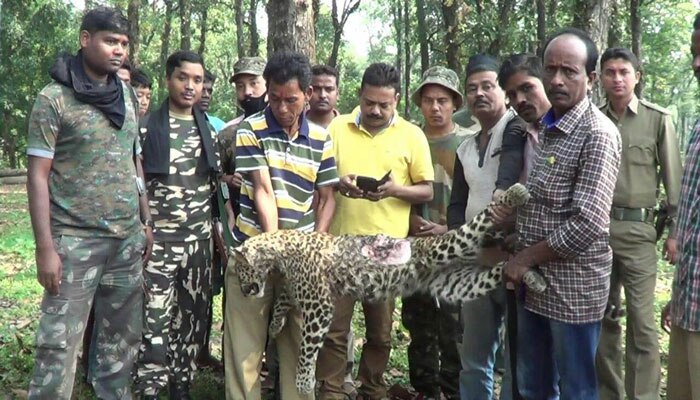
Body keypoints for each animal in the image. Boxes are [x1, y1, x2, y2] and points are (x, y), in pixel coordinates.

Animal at [231, 184, 548, 394]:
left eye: (241, 272)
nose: (245, 292)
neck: (277, 251)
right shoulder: (298, 289)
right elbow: (283, 300)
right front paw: (275, 325)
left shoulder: (319, 305)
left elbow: (308, 346)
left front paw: (303, 379)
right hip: (456, 285)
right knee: (497, 271)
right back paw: (530, 275)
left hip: (446, 246)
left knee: (476, 224)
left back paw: (516, 194)